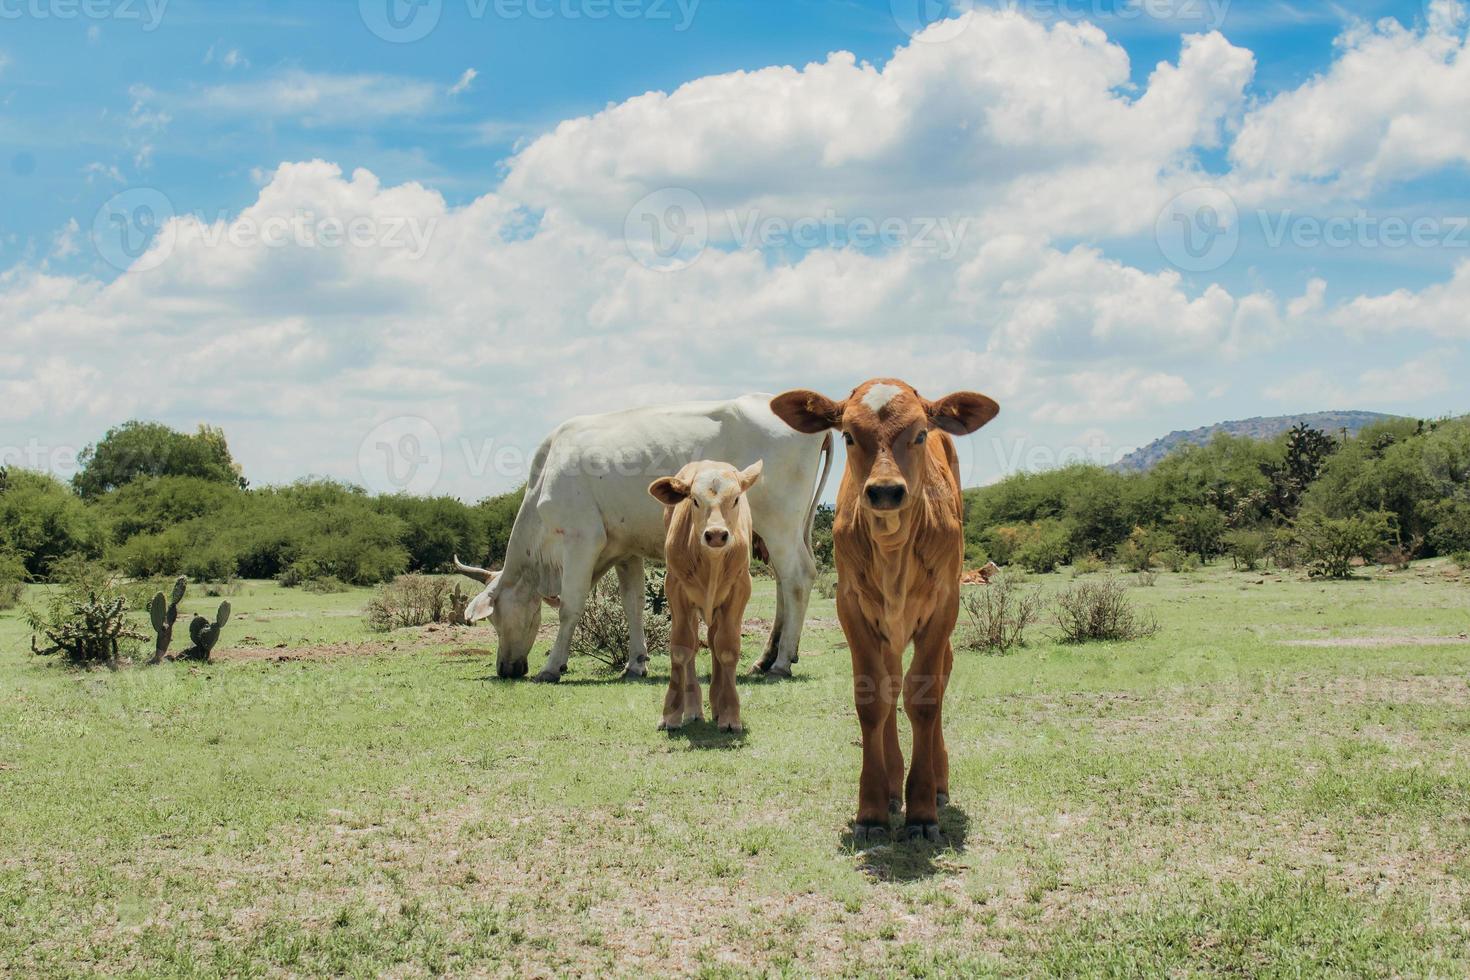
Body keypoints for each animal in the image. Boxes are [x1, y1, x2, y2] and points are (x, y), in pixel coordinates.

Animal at [452, 393, 834, 687]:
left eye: (496, 619)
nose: (507, 669)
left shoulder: (581, 539)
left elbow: (570, 606)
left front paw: (551, 667)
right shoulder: (625, 550)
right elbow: (632, 604)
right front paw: (635, 664)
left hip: (779, 525)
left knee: (797, 578)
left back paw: (781, 663)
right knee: (785, 584)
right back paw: (767, 659)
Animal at [649, 464, 764, 731]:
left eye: (735, 499)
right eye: (694, 500)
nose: (716, 534)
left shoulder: (740, 589)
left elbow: (727, 649)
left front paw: (730, 714)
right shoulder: (675, 589)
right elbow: (681, 649)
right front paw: (670, 713)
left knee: (714, 642)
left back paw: (717, 704)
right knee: (693, 643)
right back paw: (693, 709)